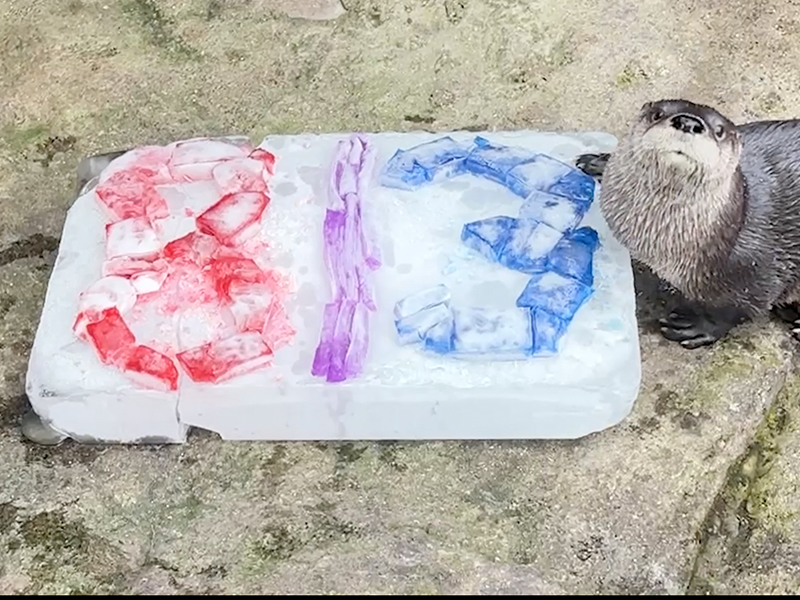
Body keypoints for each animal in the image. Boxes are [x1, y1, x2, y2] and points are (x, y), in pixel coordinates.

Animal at [575, 99, 800, 348]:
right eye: (657, 114)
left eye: (719, 131)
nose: (688, 122)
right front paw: (600, 163)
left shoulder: (754, 268)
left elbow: (738, 308)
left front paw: (698, 326)